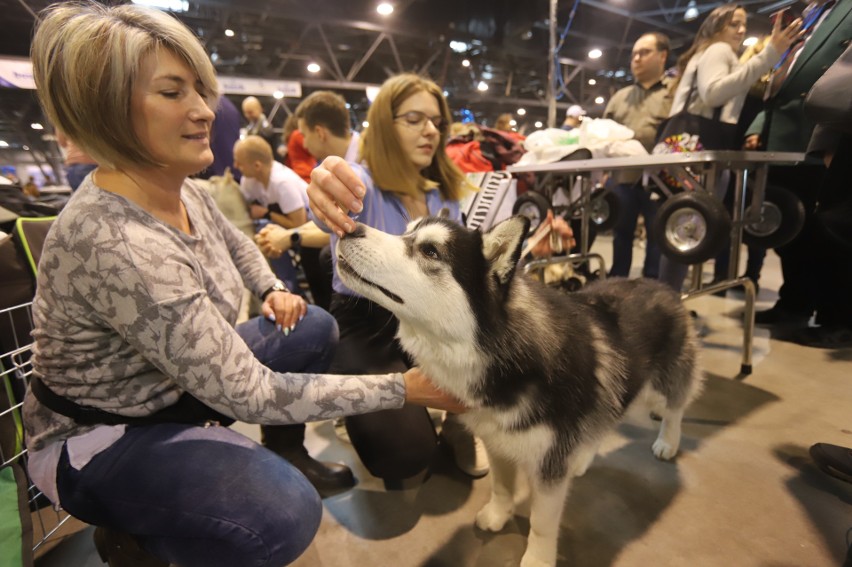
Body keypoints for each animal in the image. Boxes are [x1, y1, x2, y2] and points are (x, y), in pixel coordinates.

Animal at [336, 214, 704, 567]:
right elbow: (500, 487)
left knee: (674, 408)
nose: (347, 228)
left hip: (660, 386)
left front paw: (538, 559)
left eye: (430, 251)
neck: (500, 353)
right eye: (406, 231)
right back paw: (583, 457)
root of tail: (663, 286)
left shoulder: (548, 468)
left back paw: (667, 442)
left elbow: (541, 523)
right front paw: (498, 515)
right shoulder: (496, 441)